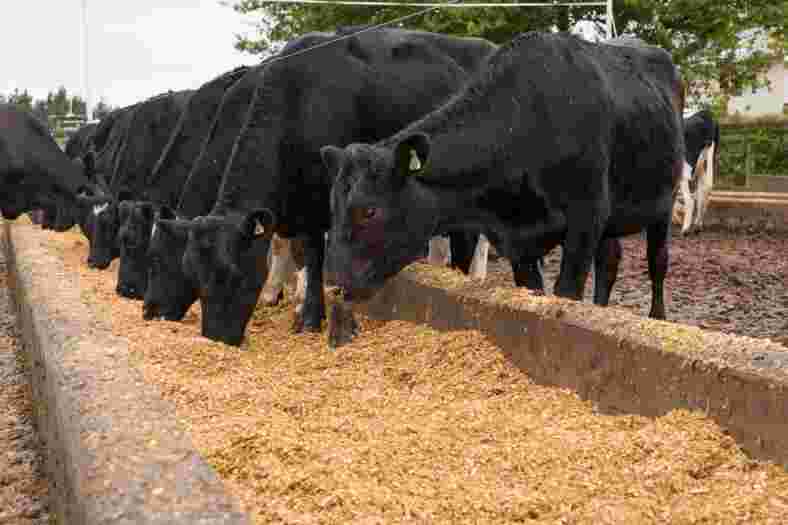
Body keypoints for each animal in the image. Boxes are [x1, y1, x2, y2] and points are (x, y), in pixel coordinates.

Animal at [320, 32, 684, 326]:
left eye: (369, 210)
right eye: (332, 206)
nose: (334, 282)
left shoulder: (587, 215)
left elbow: (566, 291)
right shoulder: (517, 242)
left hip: (663, 201)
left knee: (658, 262)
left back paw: (658, 316)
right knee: (609, 260)